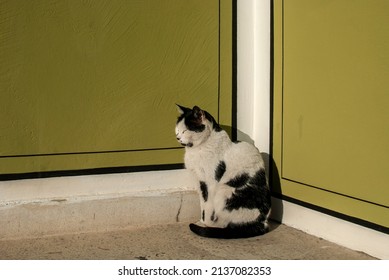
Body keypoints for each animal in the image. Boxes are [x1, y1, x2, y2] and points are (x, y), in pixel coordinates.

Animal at [174, 105, 272, 238]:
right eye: (177, 130)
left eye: (185, 131)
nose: (177, 137)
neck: (198, 149)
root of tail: (263, 223)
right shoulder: (200, 182)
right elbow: (203, 204)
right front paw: (201, 221)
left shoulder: (210, 183)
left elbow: (208, 206)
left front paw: (205, 224)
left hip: (224, 191)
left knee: (225, 223)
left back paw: (212, 226)